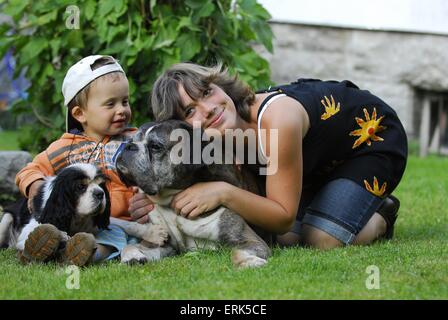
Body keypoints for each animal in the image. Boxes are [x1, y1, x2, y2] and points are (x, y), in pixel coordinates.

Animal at [114, 120, 272, 268]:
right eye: (131, 140)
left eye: (155, 146)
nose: (128, 146)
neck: (171, 198)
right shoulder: (163, 243)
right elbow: (130, 246)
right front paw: (132, 256)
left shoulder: (249, 240)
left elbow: (236, 252)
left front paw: (248, 262)